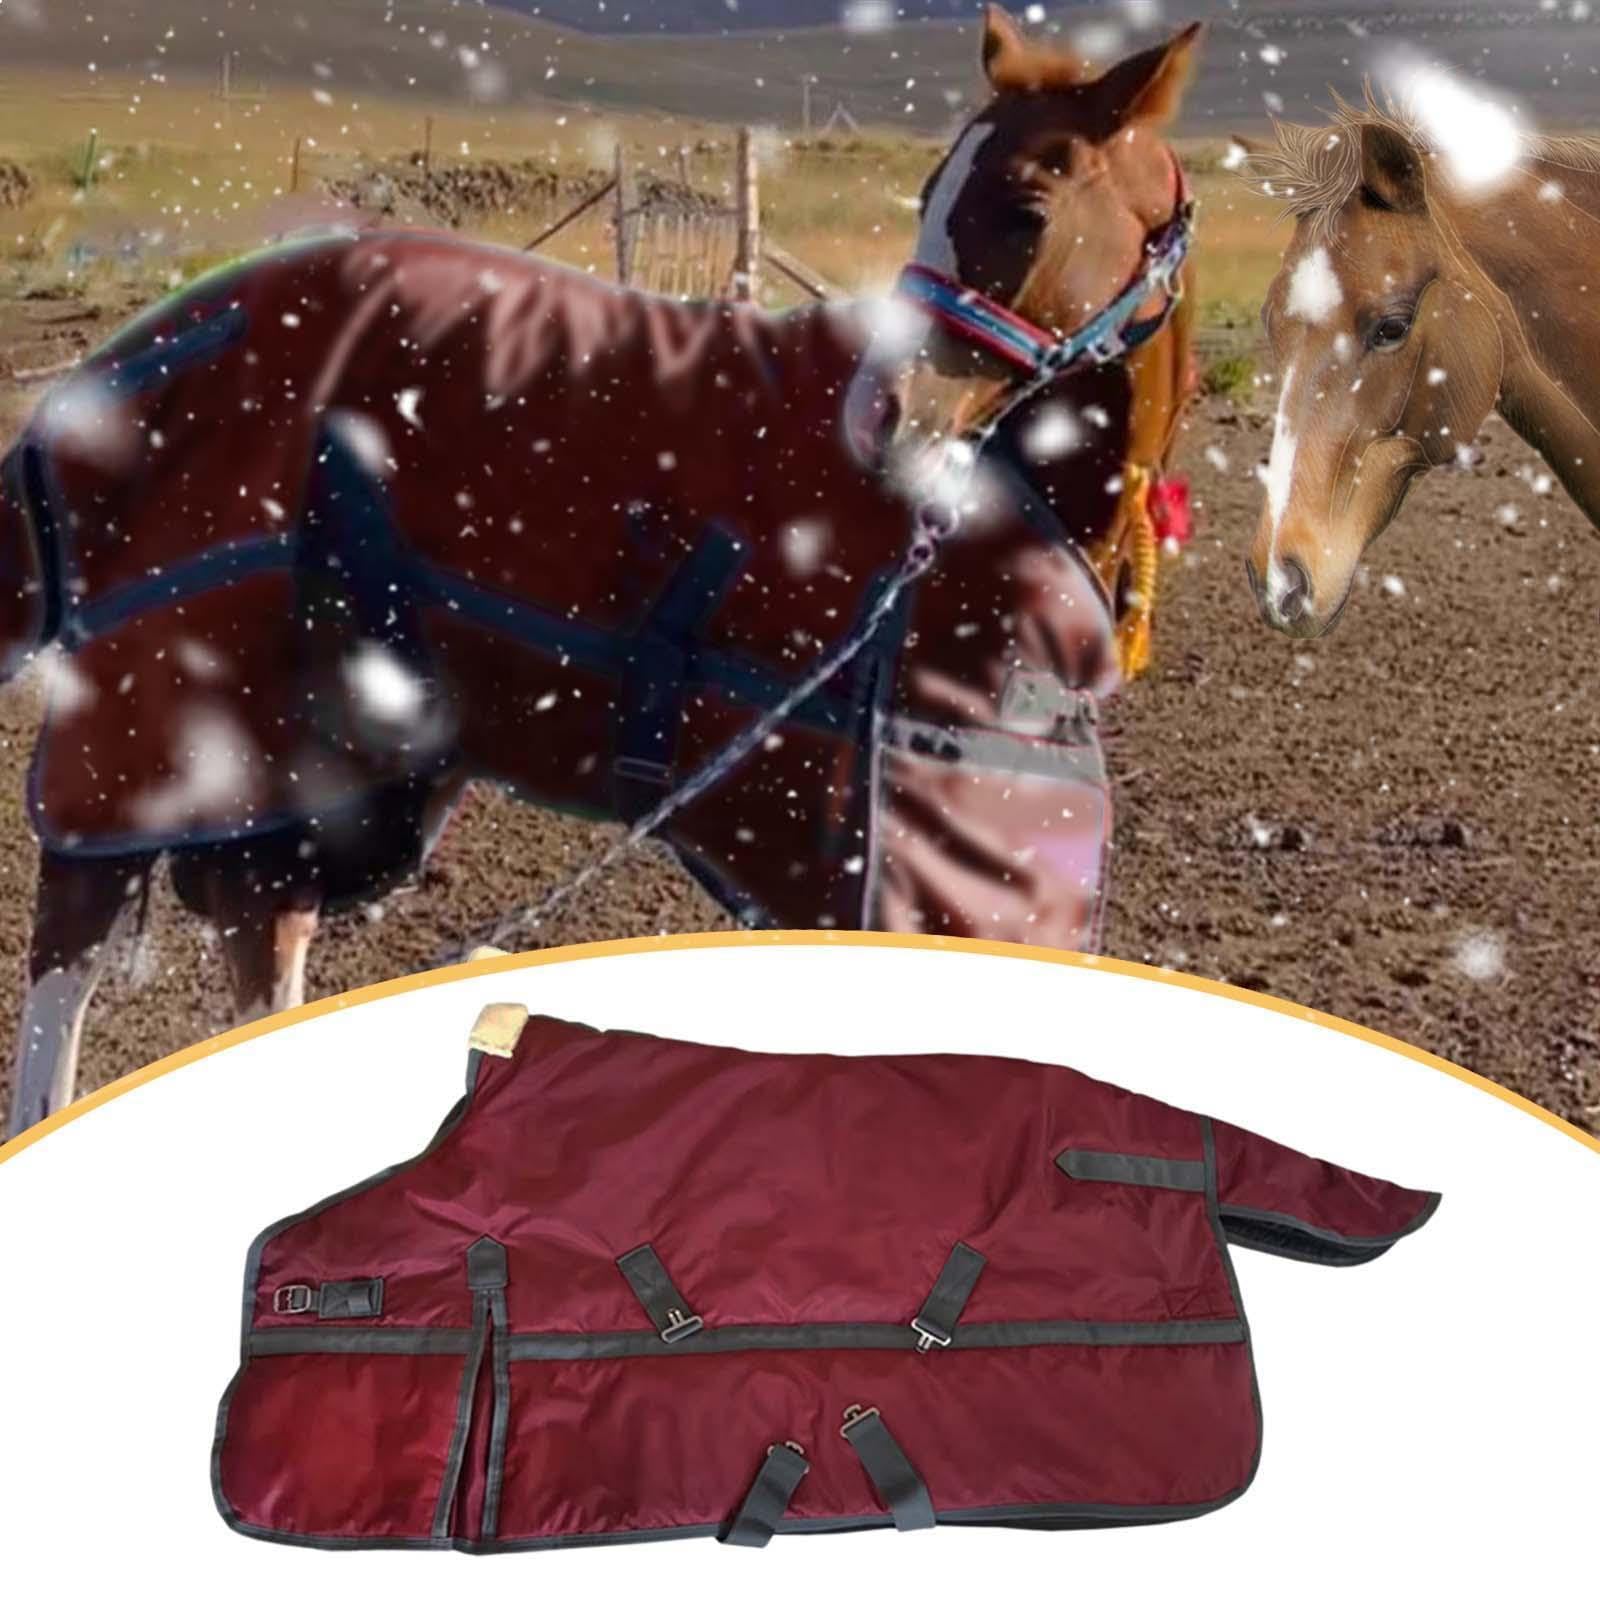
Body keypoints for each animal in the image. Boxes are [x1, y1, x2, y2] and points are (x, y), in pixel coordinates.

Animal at [0, 5, 1201, 1136]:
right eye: (927, 194)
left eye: (1027, 208)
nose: (881, 412)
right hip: (154, 715)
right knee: (71, 946)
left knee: (258, 942)